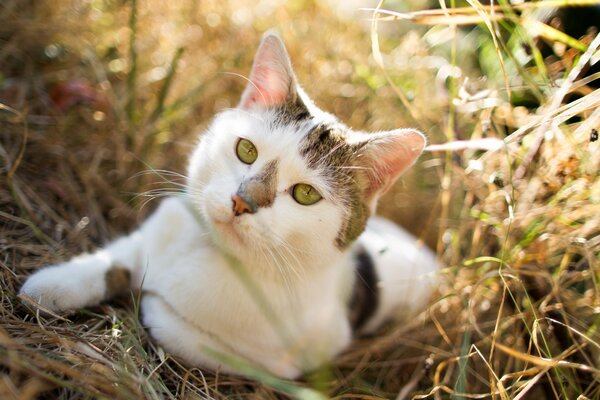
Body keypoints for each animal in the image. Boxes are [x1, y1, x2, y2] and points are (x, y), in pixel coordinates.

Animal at [21, 32, 438, 380]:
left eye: (305, 194)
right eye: (246, 150)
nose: (243, 201)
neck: (213, 251)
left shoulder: (285, 364)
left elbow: (179, 330)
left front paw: (151, 302)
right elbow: (112, 260)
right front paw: (52, 285)